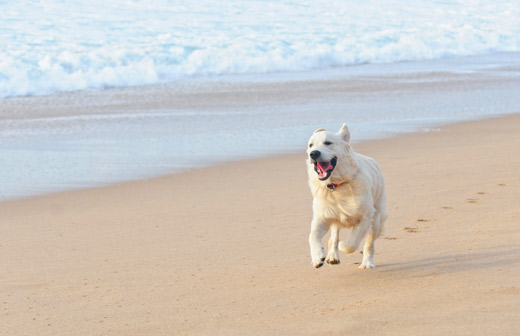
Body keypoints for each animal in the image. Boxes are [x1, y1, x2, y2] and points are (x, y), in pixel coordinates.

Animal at [306, 124, 388, 270]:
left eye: (328, 143)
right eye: (311, 145)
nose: (313, 153)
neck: (336, 185)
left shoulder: (365, 217)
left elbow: (352, 243)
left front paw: (343, 245)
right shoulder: (322, 216)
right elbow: (313, 236)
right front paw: (317, 257)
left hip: (376, 219)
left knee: (369, 243)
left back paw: (367, 263)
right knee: (334, 236)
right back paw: (332, 256)